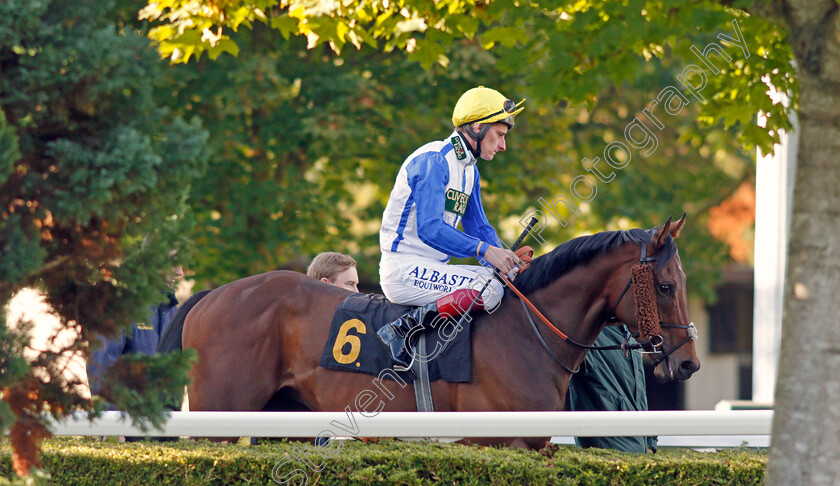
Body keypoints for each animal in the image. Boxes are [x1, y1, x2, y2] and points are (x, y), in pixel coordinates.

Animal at [161, 215, 700, 448]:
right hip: (220, 414)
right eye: (667, 286)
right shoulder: (492, 444)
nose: (688, 360)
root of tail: (211, 295)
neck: (526, 334)